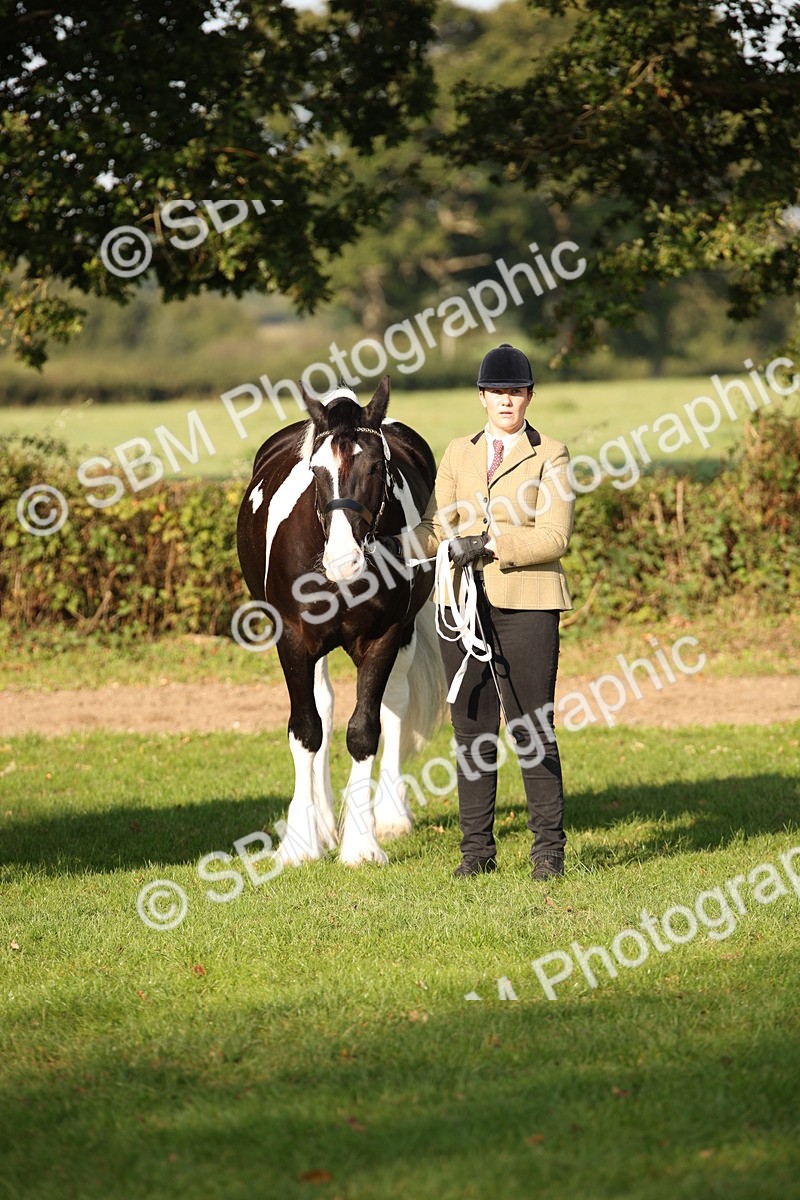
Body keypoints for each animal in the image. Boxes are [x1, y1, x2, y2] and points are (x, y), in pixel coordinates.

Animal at [236, 376, 445, 866]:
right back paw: (323, 822)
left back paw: (390, 817)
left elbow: (365, 731)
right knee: (324, 706)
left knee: (394, 705)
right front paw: (300, 841)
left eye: (376, 467)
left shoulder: (384, 637)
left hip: (404, 636)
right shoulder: (293, 641)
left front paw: (363, 844)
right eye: (316, 471)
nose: (343, 561)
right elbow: (307, 730)